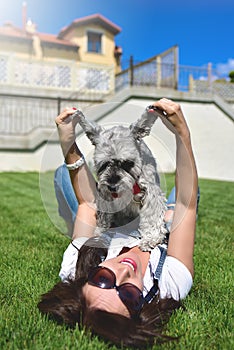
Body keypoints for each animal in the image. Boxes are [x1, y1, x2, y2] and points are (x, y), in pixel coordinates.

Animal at [73, 105, 166, 250]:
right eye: (104, 164)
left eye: (127, 163)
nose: (112, 186)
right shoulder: (105, 196)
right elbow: (104, 217)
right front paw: (99, 234)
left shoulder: (151, 193)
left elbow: (152, 216)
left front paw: (150, 239)